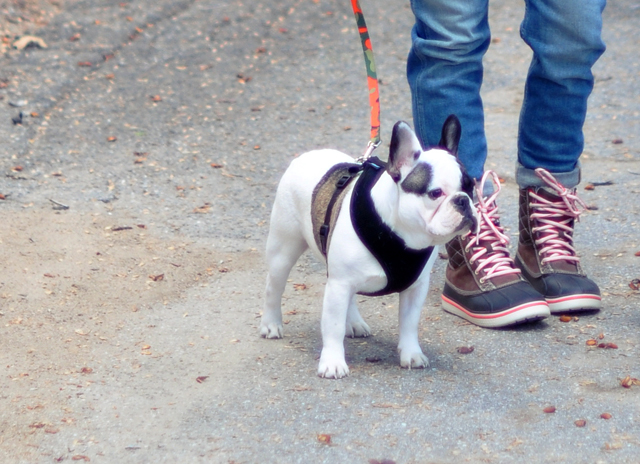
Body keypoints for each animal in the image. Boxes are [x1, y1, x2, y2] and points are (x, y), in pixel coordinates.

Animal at [258, 115, 476, 376]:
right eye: (435, 193)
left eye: (471, 186)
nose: (463, 200)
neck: (401, 234)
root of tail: (306, 156)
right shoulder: (339, 284)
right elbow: (333, 327)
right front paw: (333, 362)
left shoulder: (415, 288)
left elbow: (409, 323)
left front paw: (411, 354)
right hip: (284, 248)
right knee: (273, 286)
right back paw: (271, 324)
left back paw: (353, 322)